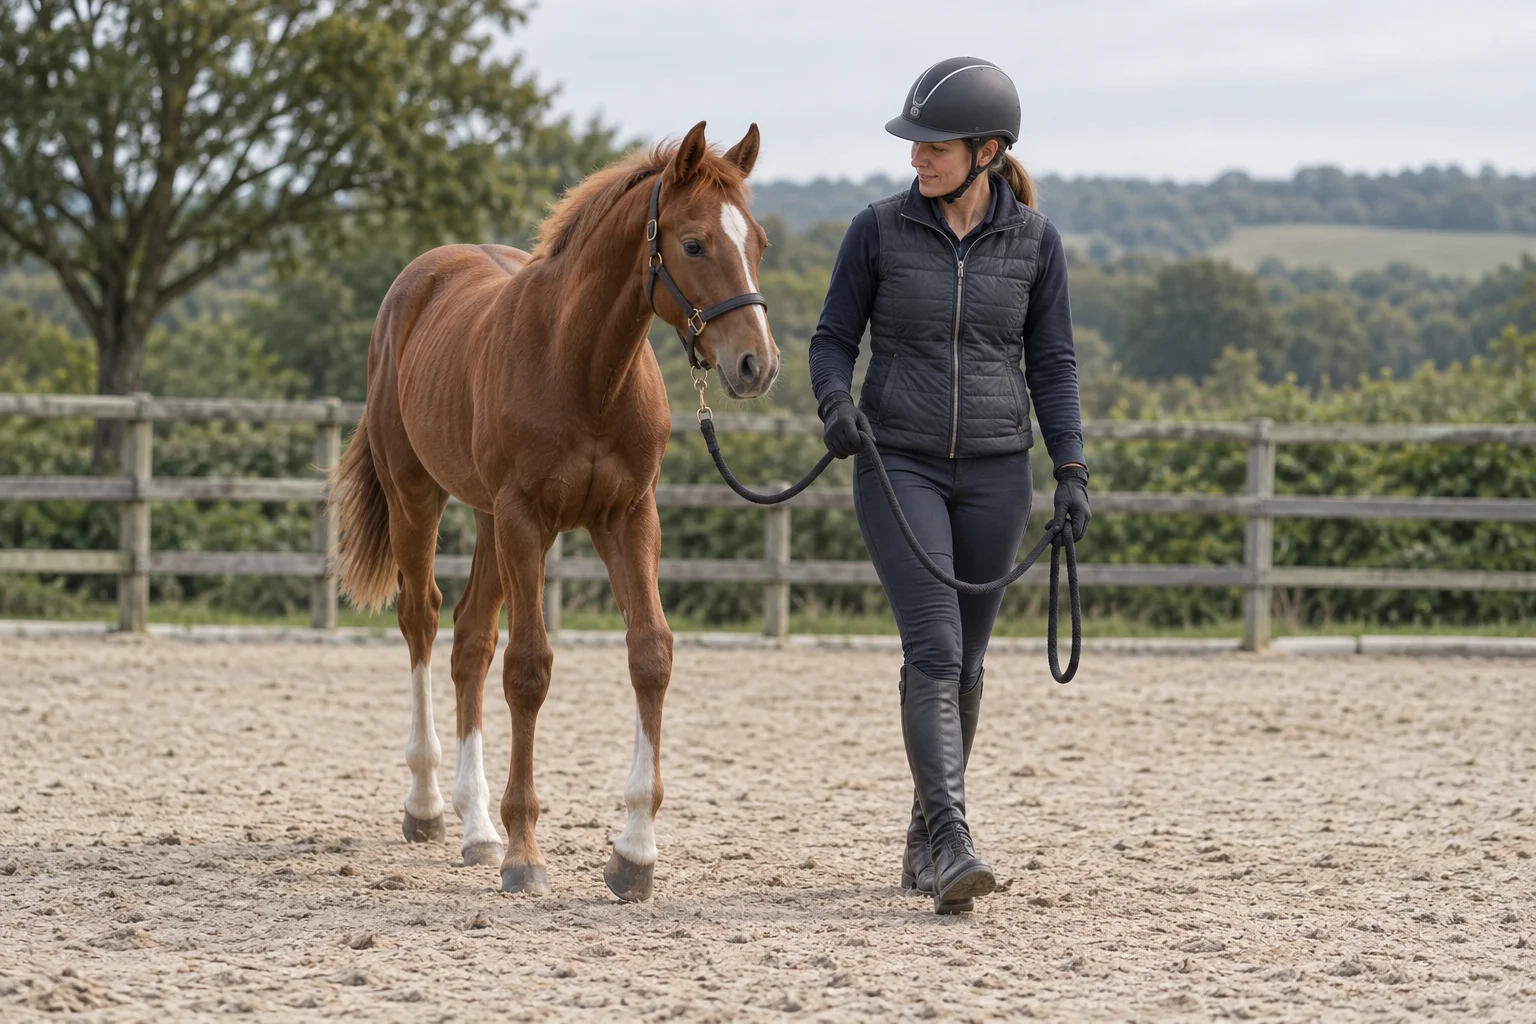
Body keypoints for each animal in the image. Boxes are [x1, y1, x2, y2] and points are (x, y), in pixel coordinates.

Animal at [327, 122, 778, 900]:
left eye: (757, 241)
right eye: (693, 244)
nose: (757, 363)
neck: (585, 369)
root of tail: (417, 283)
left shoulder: (629, 517)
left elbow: (650, 654)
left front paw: (634, 853)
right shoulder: (525, 518)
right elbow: (529, 669)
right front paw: (524, 852)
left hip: (485, 521)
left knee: (470, 640)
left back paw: (476, 827)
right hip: (420, 495)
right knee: (422, 619)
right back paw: (429, 805)